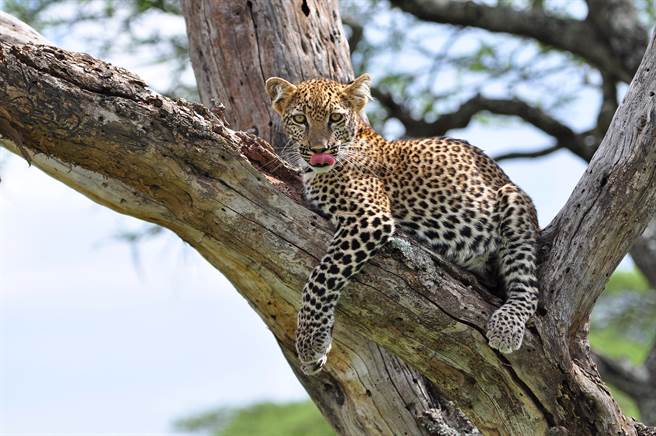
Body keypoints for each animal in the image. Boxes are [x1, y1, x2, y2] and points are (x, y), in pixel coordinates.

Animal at [264, 74, 540, 374]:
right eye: (300, 119)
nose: (319, 150)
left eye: (335, 118)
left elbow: (321, 278)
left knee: (529, 288)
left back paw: (506, 326)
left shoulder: (371, 218)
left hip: (513, 203)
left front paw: (311, 342)